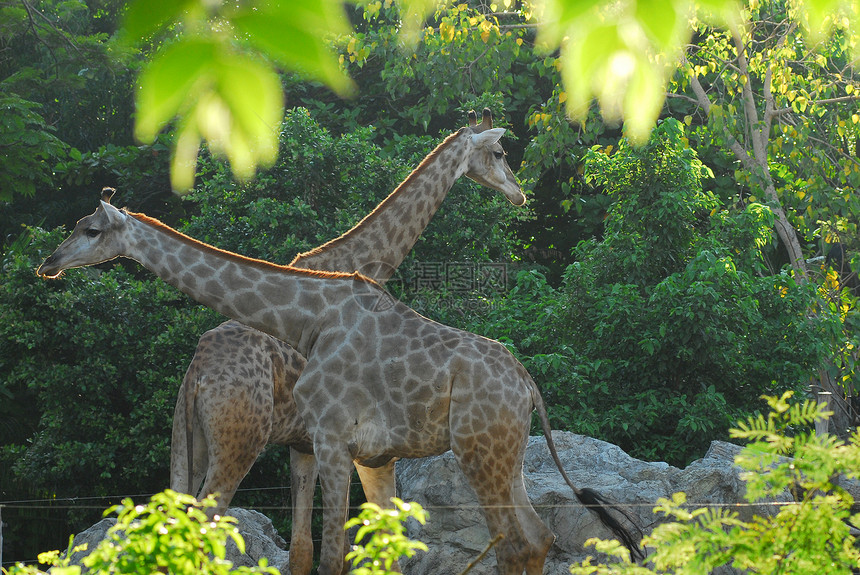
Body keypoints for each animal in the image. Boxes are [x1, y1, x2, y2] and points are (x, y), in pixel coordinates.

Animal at [37, 190, 640, 575]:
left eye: (91, 229)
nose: (49, 262)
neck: (308, 318)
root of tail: (527, 386)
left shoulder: (331, 440)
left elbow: (330, 555)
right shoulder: (368, 454)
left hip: (478, 450)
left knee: (514, 544)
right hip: (504, 453)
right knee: (537, 538)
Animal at [173, 109, 524, 575]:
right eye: (499, 152)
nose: (520, 194)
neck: (359, 264)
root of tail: (198, 373)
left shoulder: (303, 444)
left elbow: (303, 548)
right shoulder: (337, 440)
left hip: (188, 442)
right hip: (239, 439)